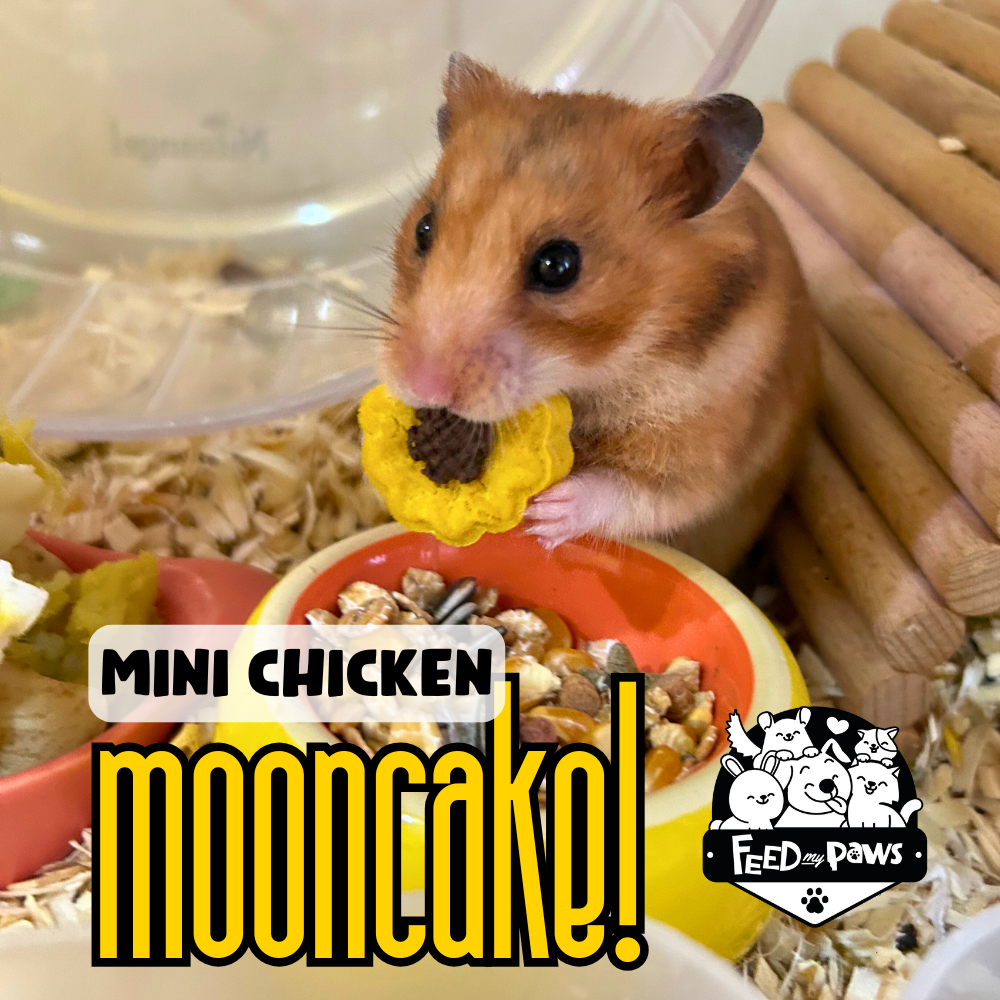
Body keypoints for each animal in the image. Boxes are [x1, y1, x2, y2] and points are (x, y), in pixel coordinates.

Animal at [379, 54, 819, 574]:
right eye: (424, 229)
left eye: (558, 265)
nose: (422, 385)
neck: (599, 371)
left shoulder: (701, 448)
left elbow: (643, 493)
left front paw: (542, 513)